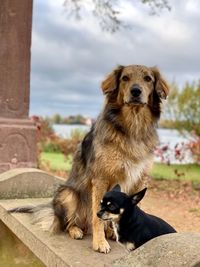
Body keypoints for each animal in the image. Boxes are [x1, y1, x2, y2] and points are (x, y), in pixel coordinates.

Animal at [10, 64, 170, 253]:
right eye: (125, 78)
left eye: (148, 79)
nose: (136, 91)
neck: (132, 127)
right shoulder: (101, 179)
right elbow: (98, 217)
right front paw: (99, 242)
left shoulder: (140, 178)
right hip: (68, 194)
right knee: (67, 223)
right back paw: (76, 230)